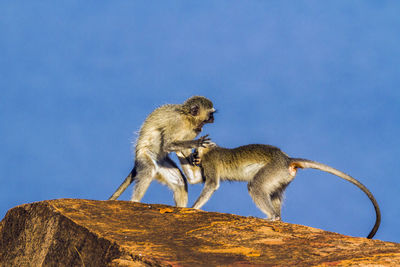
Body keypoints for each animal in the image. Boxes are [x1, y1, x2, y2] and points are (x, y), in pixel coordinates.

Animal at [184, 143, 382, 240]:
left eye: (195, 153)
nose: (193, 158)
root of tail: (287, 160)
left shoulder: (210, 161)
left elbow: (211, 184)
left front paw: (193, 208)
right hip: (281, 177)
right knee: (274, 194)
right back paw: (278, 218)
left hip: (273, 170)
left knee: (255, 186)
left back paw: (271, 217)